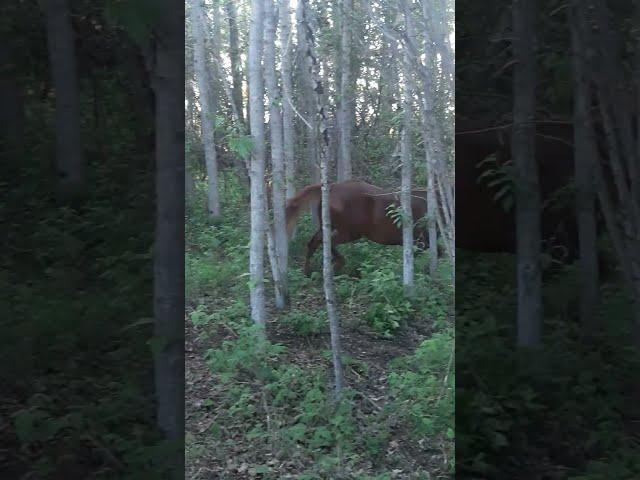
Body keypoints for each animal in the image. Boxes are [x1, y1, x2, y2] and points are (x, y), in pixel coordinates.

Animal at [286, 180, 430, 276]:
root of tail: (332, 187)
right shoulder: (420, 242)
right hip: (349, 232)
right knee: (324, 241)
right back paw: (337, 264)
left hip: (329, 227)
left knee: (314, 241)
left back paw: (309, 271)